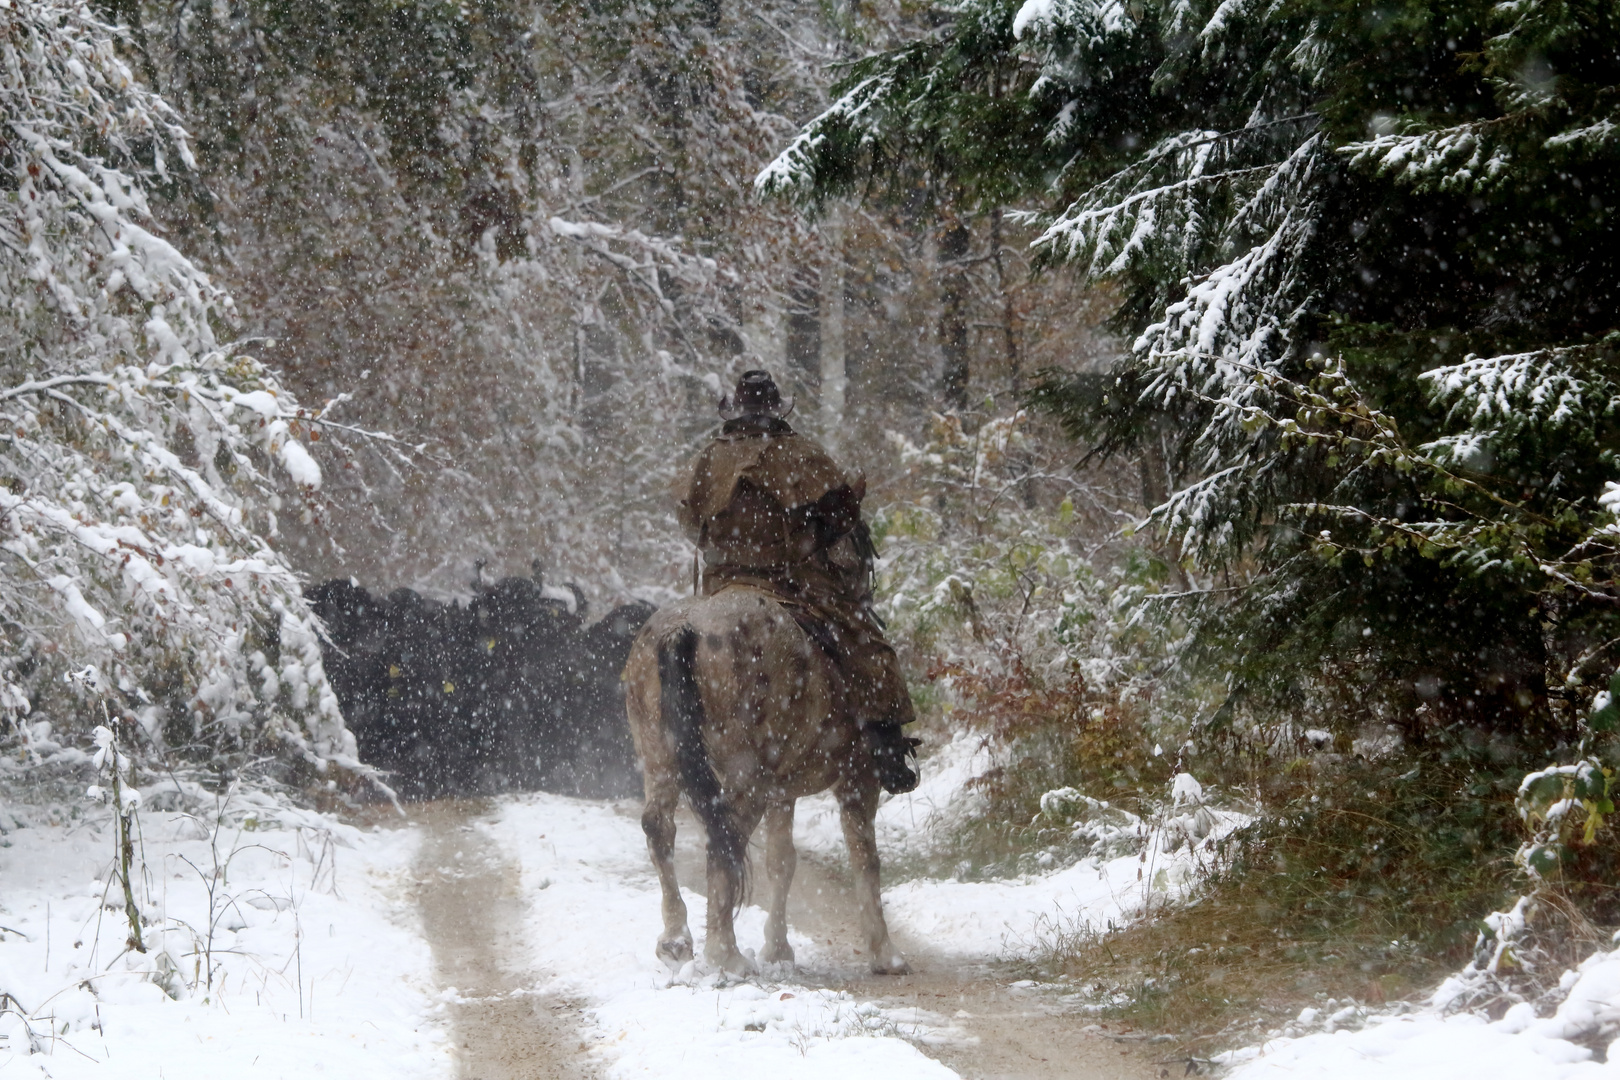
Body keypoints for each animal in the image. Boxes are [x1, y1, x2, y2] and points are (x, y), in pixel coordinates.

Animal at [625, 582, 913, 977]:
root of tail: (687, 626)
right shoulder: (859, 779)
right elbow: (865, 859)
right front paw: (885, 954)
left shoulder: (781, 792)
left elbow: (781, 861)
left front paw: (778, 949)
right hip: (747, 776)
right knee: (724, 840)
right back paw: (726, 955)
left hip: (659, 759)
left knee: (659, 827)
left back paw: (676, 940)